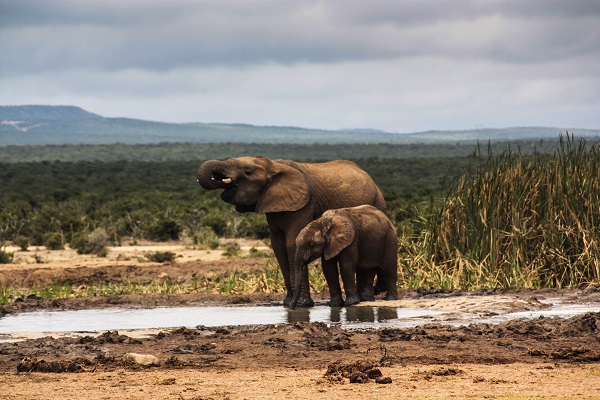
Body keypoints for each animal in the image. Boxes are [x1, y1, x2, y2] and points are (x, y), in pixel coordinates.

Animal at [197, 155, 384, 306]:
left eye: (247, 171)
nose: (218, 178)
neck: (273, 165)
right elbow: (278, 247)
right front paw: (287, 303)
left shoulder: (303, 206)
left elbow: (291, 243)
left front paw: (301, 304)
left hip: (378, 202)